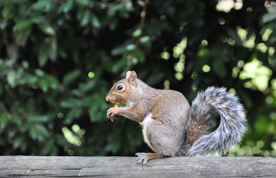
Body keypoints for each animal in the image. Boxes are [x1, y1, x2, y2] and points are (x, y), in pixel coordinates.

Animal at [105, 70, 246, 164]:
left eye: (120, 87)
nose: (107, 99)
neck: (138, 92)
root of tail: (177, 150)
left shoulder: (144, 103)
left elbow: (137, 114)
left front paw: (115, 109)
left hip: (154, 129)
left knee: (165, 154)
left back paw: (150, 155)